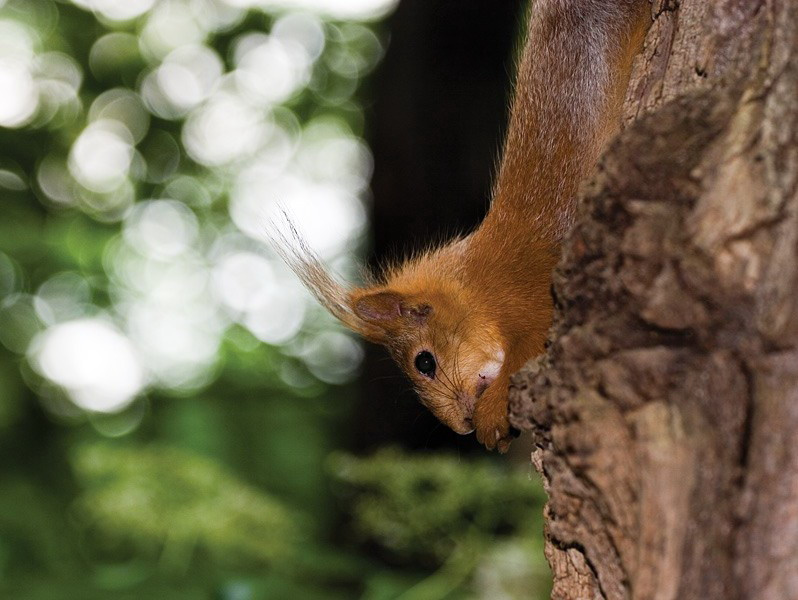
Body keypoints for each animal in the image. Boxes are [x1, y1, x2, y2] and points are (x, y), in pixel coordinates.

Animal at [277, 1, 651, 452]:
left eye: (424, 362)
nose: (464, 427)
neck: (478, 285)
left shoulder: (533, 294)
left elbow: (527, 352)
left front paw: (493, 414)